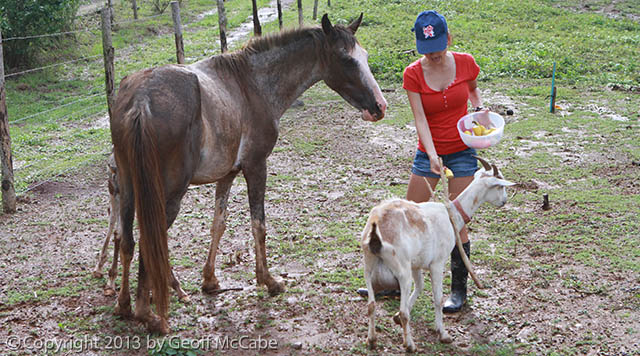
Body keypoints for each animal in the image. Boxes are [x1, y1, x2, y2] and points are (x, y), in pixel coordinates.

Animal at [111, 12, 384, 332]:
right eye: (346, 59)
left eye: (364, 56)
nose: (379, 106)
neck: (252, 84)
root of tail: (141, 100)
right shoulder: (256, 166)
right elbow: (258, 224)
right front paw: (268, 280)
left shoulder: (228, 174)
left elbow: (219, 223)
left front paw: (210, 280)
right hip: (165, 195)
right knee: (148, 242)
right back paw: (147, 312)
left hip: (129, 187)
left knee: (127, 240)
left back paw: (124, 304)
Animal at [360, 159, 516, 354]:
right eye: (500, 185)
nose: (504, 201)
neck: (452, 215)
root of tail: (376, 232)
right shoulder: (437, 263)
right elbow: (436, 297)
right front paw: (442, 333)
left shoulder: (416, 264)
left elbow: (419, 287)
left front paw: (395, 317)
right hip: (401, 268)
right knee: (403, 311)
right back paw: (410, 345)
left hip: (369, 265)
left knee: (371, 305)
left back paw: (371, 340)